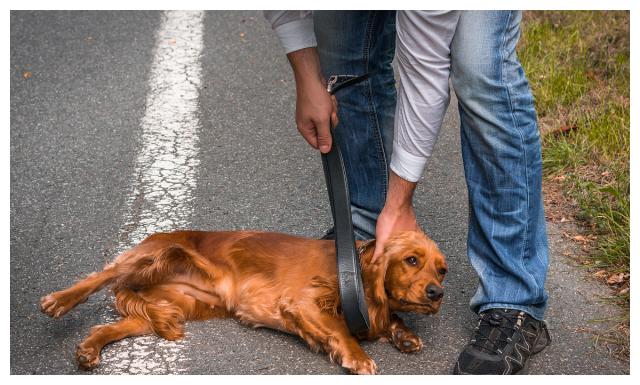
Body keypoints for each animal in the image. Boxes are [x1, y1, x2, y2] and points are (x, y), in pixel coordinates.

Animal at [40, 230, 448, 374]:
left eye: (442, 270)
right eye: (412, 260)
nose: (437, 294)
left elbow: (386, 320)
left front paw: (404, 334)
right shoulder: (302, 301)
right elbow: (340, 330)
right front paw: (359, 358)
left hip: (173, 307)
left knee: (114, 325)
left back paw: (88, 350)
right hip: (154, 255)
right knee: (103, 275)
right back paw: (59, 300)